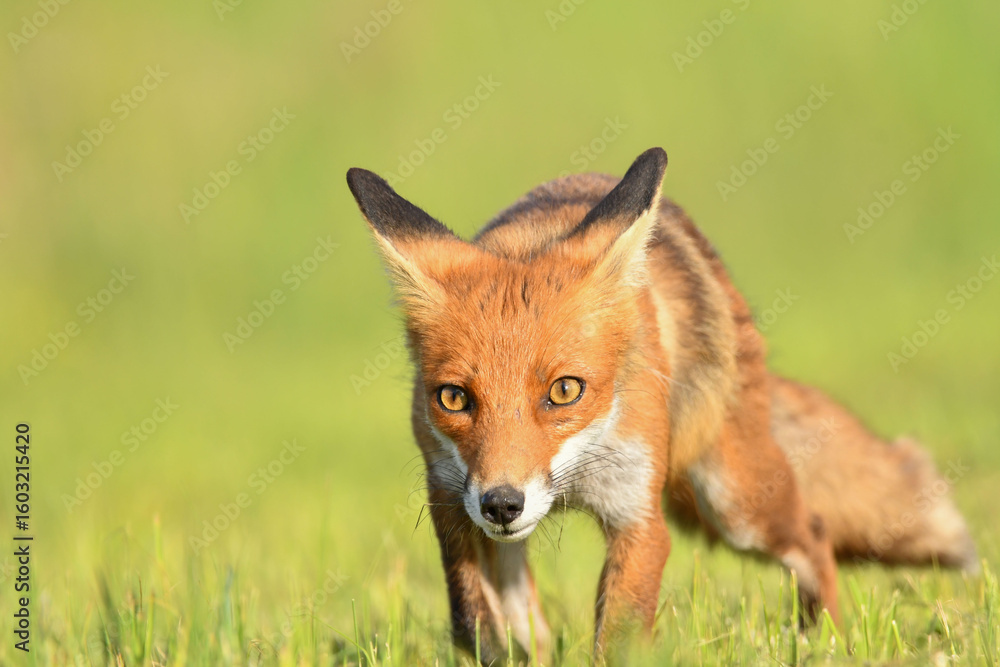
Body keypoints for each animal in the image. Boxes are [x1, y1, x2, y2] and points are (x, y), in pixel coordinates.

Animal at [346, 147, 977, 662]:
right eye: (454, 398)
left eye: (565, 390)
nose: (503, 503)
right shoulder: (452, 502)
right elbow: (475, 624)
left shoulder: (638, 517)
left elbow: (618, 637)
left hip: (736, 503)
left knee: (816, 534)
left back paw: (822, 644)